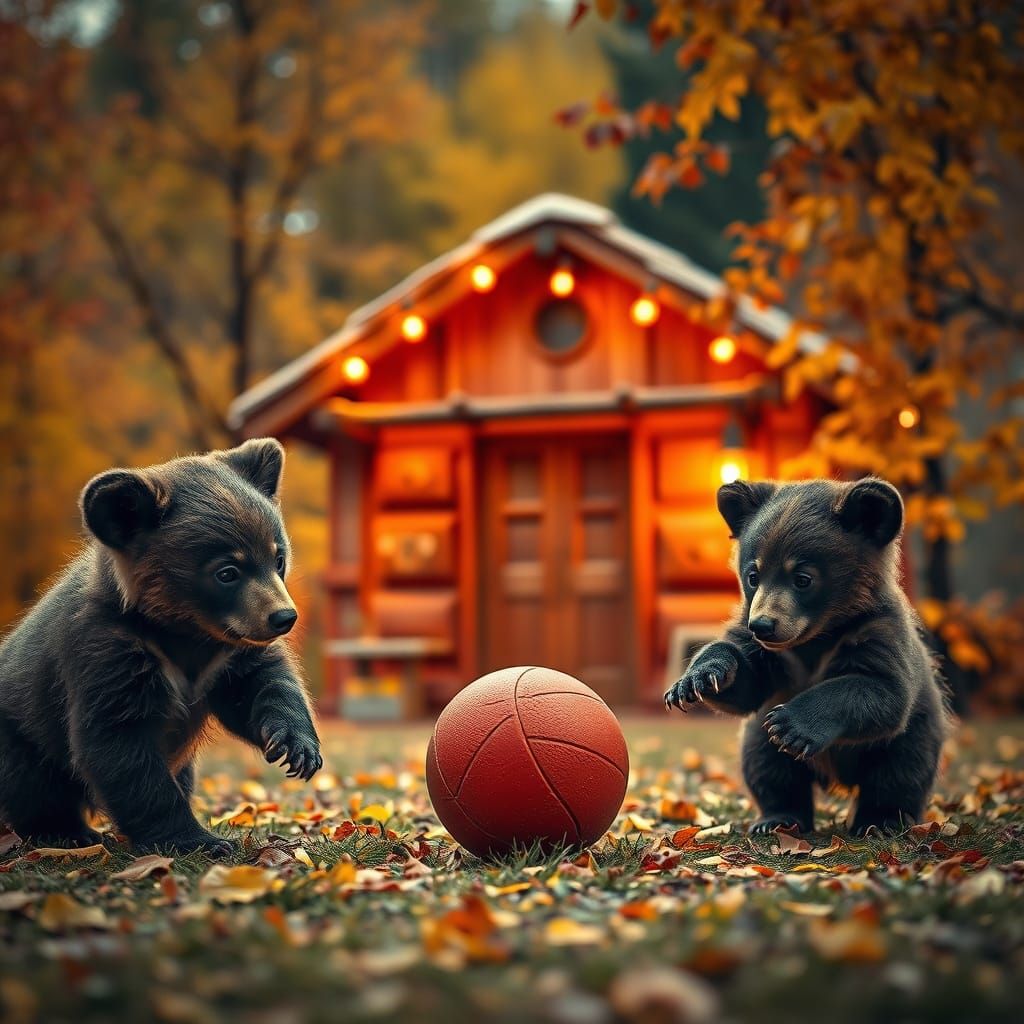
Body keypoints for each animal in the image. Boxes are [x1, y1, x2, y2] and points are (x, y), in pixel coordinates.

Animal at [0, 438, 322, 855]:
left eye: (278, 558)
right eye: (227, 572)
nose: (284, 617)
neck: (183, 632)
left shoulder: (225, 657)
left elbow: (260, 686)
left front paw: (296, 750)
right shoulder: (105, 655)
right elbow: (119, 747)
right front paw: (201, 840)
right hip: (21, 734)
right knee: (34, 787)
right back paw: (68, 832)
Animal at [664, 478, 947, 836]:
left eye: (803, 578)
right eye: (753, 575)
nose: (762, 625)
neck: (818, 637)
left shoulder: (876, 633)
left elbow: (882, 690)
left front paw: (790, 725)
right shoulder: (775, 660)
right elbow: (745, 684)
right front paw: (694, 682)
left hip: (914, 733)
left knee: (900, 774)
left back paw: (879, 822)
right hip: (757, 735)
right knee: (768, 767)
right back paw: (776, 819)